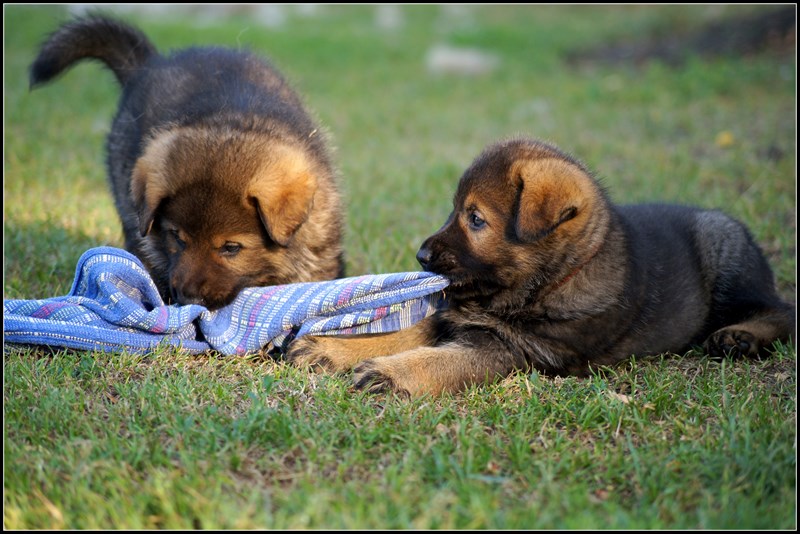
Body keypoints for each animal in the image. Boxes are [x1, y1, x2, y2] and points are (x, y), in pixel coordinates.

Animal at [29, 15, 344, 310]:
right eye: (177, 237)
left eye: (231, 248)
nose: (188, 298)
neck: (229, 123)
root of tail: (150, 65)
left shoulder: (319, 252)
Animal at [286, 138, 792, 398]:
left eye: (475, 219)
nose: (422, 258)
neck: (544, 285)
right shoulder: (455, 316)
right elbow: (405, 332)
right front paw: (333, 349)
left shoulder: (512, 350)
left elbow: (442, 359)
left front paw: (392, 374)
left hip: (726, 257)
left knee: (781, 309)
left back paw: (740, 336)